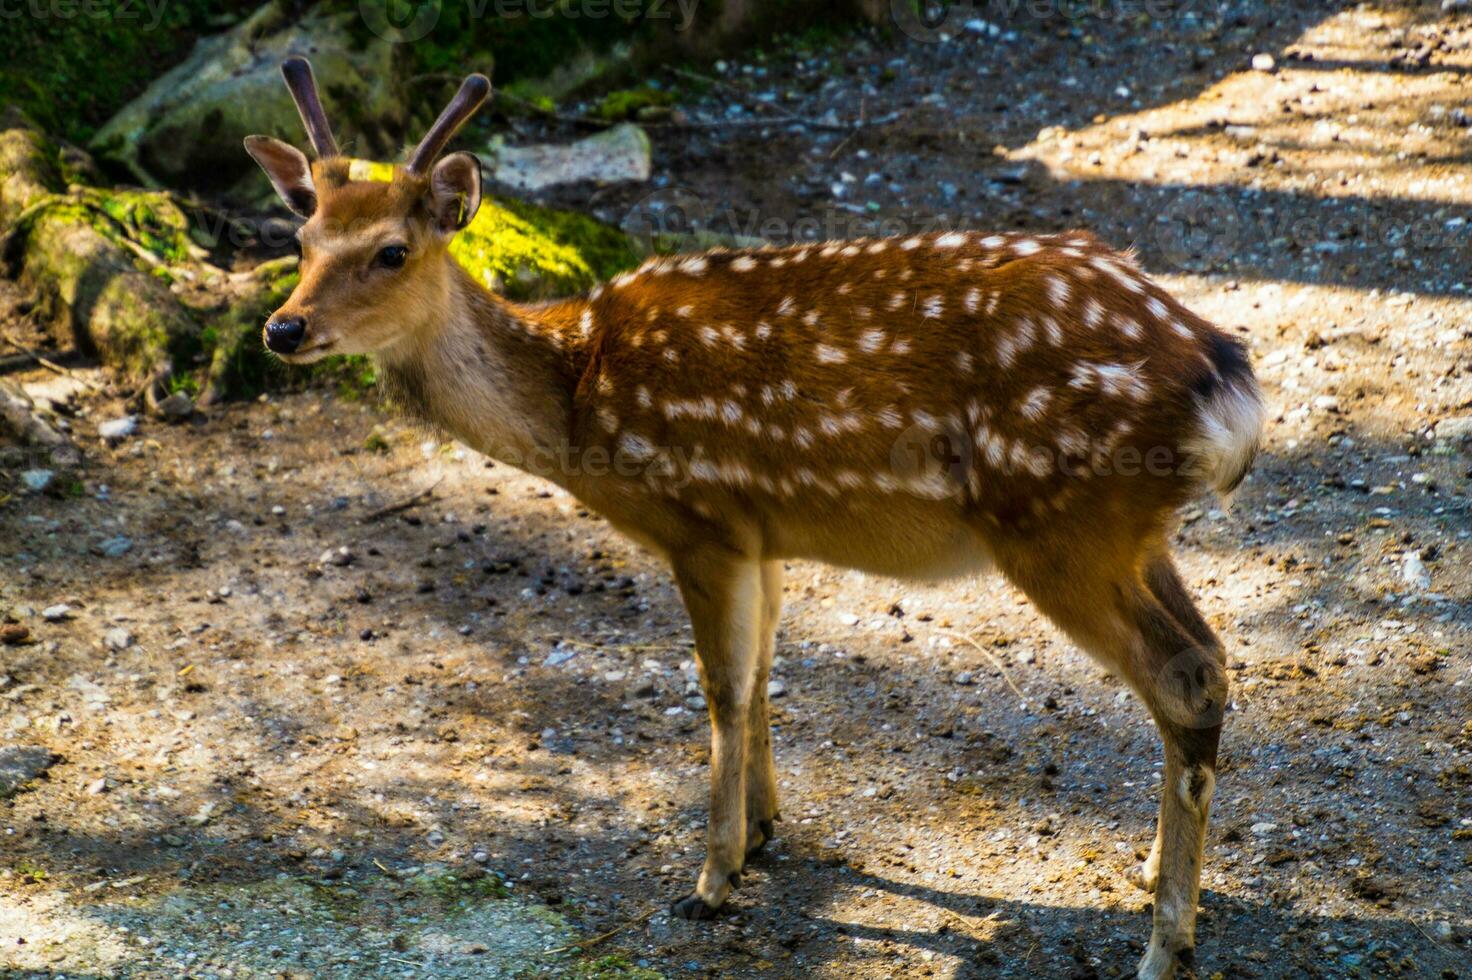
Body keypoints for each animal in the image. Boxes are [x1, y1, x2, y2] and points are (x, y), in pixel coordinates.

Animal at [244, 57, 1265, 971]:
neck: (576, 401)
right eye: (300, 243)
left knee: (1181, 676)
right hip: (1129, 531)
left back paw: (1165, 943)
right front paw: (768, 828)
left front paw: (712, 877)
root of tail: (1223, 379)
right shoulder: (765, 532)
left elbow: (721, 688)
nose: (283, 329)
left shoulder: (701, 519)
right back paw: (1158, 875)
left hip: (1055, 521)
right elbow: (769, 666)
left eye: (392, 251)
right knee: (1210, 656)